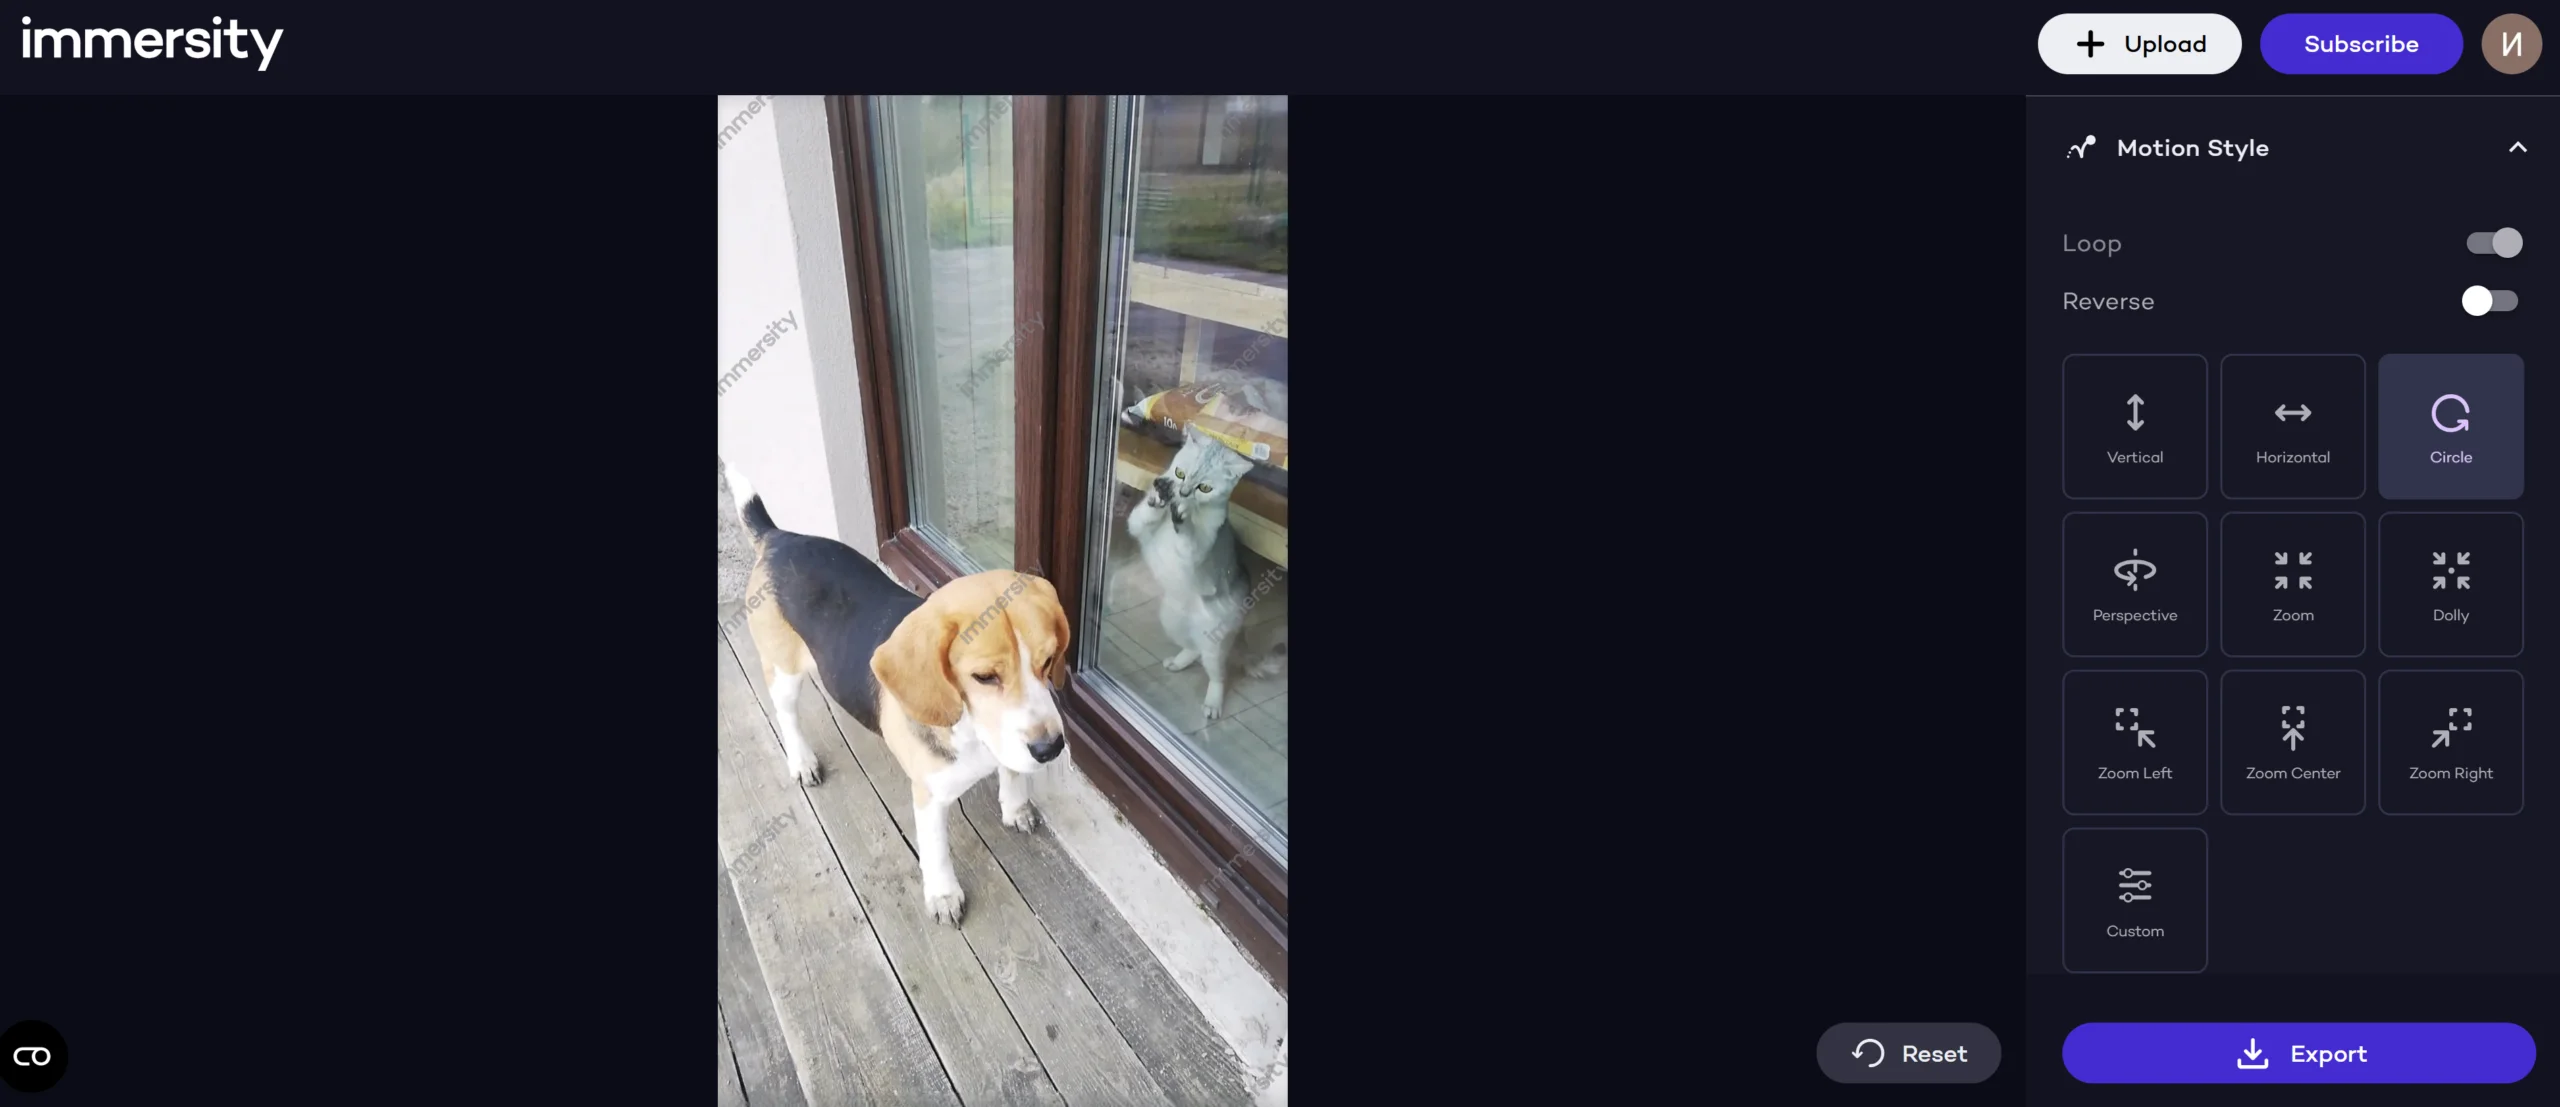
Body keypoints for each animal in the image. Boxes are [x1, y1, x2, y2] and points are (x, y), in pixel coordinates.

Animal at [726, 463, 1069, 926]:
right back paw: (802, 761)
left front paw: (1015, 808)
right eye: (983, 677)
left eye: (1049, 660)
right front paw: (943, 895)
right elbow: (936, 851)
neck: (971, 731)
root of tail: (779, 537)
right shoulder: (929, 797)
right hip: (783, 671)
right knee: (788, 717)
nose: (1051, 749)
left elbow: (1013, 772)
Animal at [1128, 425, 1260, 724]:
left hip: (1215, 643)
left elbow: (1188, 539)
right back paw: (1177, 662)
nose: (1183, 492)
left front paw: (1183, 515)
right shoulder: (1138, 526)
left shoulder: (1196, 554)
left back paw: (1212, 704)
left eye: (1205, 488)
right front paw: (1158, 498)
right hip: (1171, 620)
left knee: (1217, 671)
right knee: (1192, 648)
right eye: (1179, 473)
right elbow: (1142, 518)